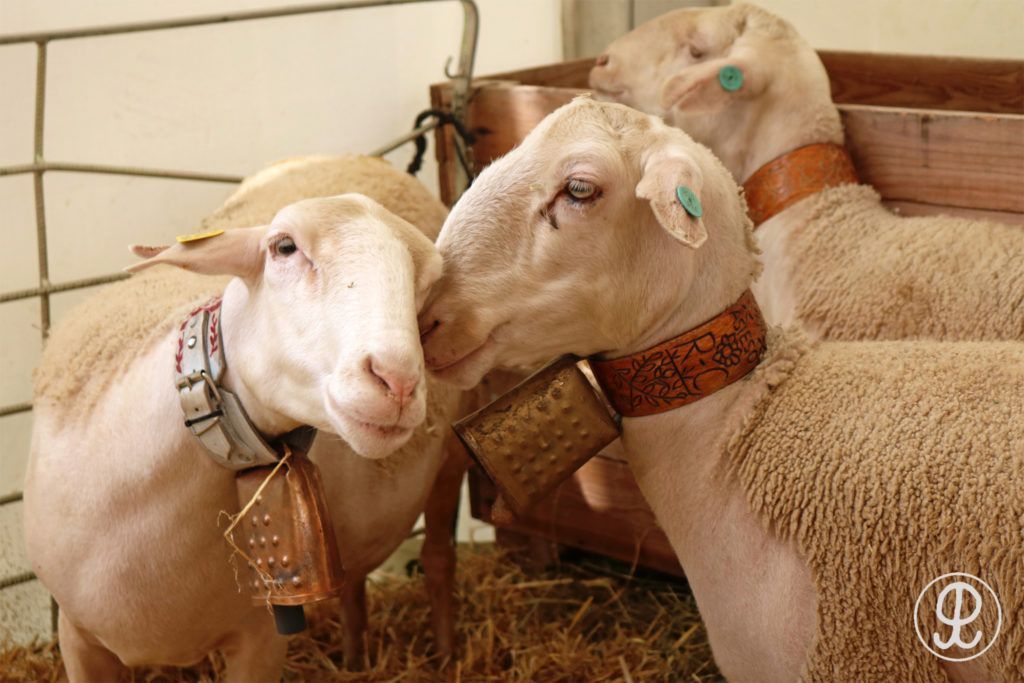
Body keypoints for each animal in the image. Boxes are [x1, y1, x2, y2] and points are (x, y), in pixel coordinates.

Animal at [24, 190, 461, 680]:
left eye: (426, 285)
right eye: (284, 247)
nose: (398, 381)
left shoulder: (262, 637)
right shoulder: (76, 636)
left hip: (453, 457)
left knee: (439, 557)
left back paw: (446, 657)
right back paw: (352, 660)